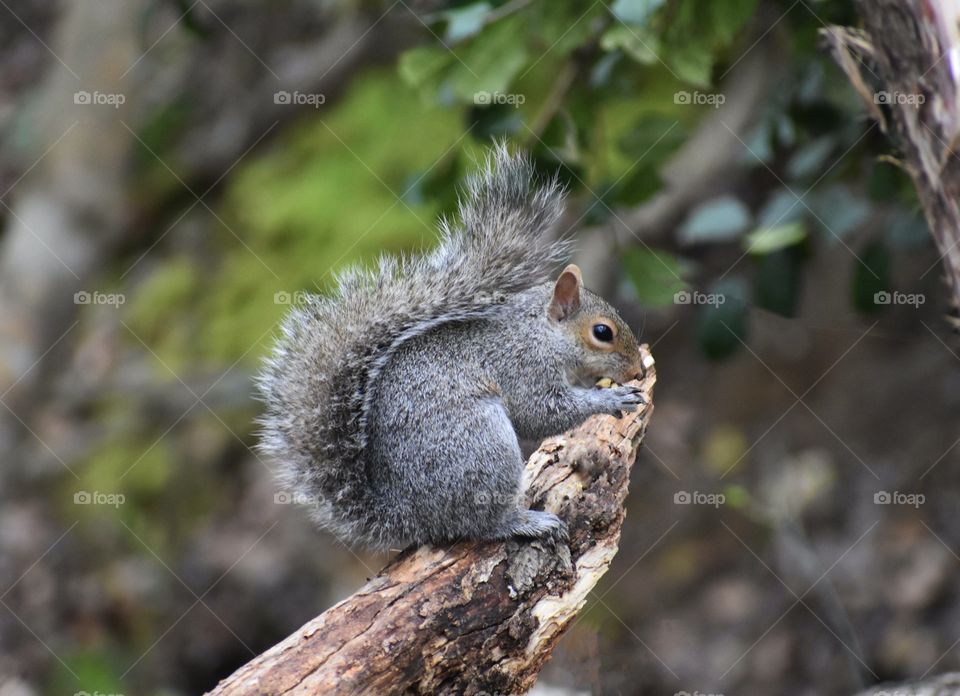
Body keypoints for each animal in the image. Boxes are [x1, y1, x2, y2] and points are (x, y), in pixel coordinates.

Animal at [255, 145, 644, 548]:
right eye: (602, 332)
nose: (639, 370)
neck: (541, 334)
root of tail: (411, 519)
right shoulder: (521, 366)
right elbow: (542, 412)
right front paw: (611, 399)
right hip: (482, 447)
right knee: (480, 524)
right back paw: (524, 521)